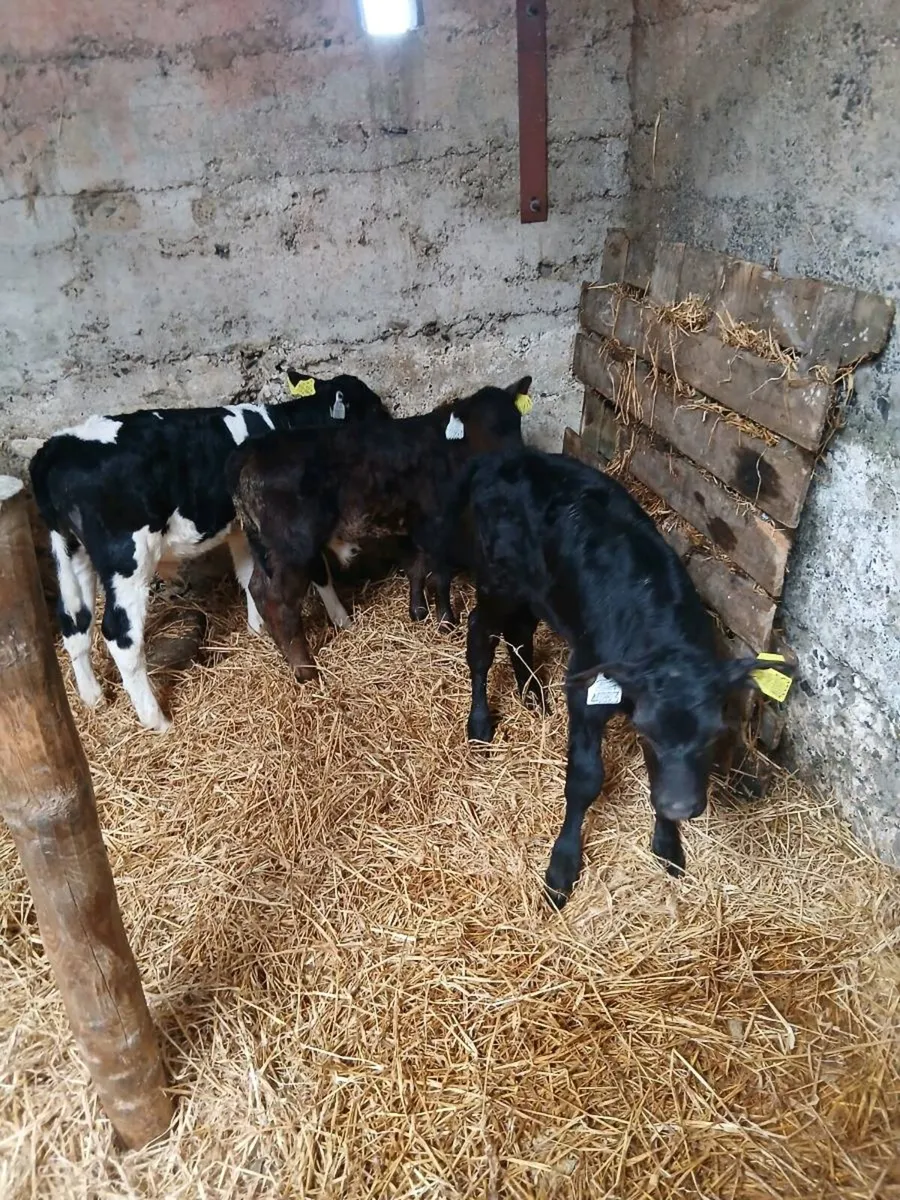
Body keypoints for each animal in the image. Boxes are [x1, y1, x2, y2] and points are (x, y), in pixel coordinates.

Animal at [28, 371, 391, 732]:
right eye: (373, 407)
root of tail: (57, 447)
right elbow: (318, 572)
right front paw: (343, 620)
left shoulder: (241, 528)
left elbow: (248, 575)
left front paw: (257, 629)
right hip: (127, 556)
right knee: (121, 636)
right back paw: (157, 720)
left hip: (70, 550)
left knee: (74, 621)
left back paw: (93, 698)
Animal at [228, 377, 534, 683]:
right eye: (484, 430)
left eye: (516, 423)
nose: (514, 459)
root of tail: (253, 450)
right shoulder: (439, 521)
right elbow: (440, 575)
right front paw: (446, 623)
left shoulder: (414, 523)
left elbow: (416, 567)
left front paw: (418, 612)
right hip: (292, 545)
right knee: (277, 600)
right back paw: (306, 669)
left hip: (262, 542)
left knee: (257, 586)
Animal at [429, 448, 791, 905]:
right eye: (648, 731)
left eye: (713, 733)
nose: (680, 807)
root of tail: (505, 455)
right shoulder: (587, 690)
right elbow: (585, 779)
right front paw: (562, 868)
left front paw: (668, 845)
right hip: (498, 581)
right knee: (481, 636)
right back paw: (479, 723)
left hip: (538, 591)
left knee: (520, 632)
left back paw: (532, 693)